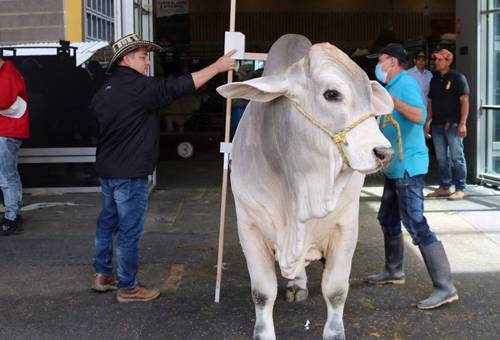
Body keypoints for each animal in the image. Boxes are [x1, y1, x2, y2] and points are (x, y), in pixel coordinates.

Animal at [219, 35, 394, 340]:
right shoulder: (249, 226)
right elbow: (262, 293)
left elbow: (336, 291)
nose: (384, 152)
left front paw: (335, 333)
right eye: (332, 94)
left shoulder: (346, 227)